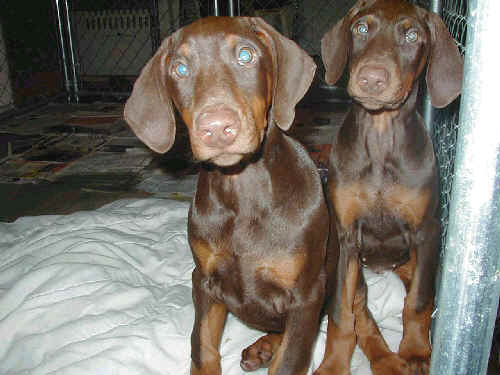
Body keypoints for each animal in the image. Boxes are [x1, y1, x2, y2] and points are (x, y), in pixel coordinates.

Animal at [123, 16, 330, 375]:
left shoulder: (306, 295)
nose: (217, 128)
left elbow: (290, 359)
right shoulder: (205, 281)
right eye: (179, 68)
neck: (242, 190)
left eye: (246, 55)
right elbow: (202, 344)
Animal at [316, 0, 464, 375]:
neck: (381, 136)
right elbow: (341, 312)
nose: (371, 78)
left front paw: (415, 352)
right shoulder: (345, 237)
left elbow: (418, 303)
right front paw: (334, 363)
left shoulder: (427, 232)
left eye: (412, 35)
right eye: (361, 29)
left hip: (414, 260)